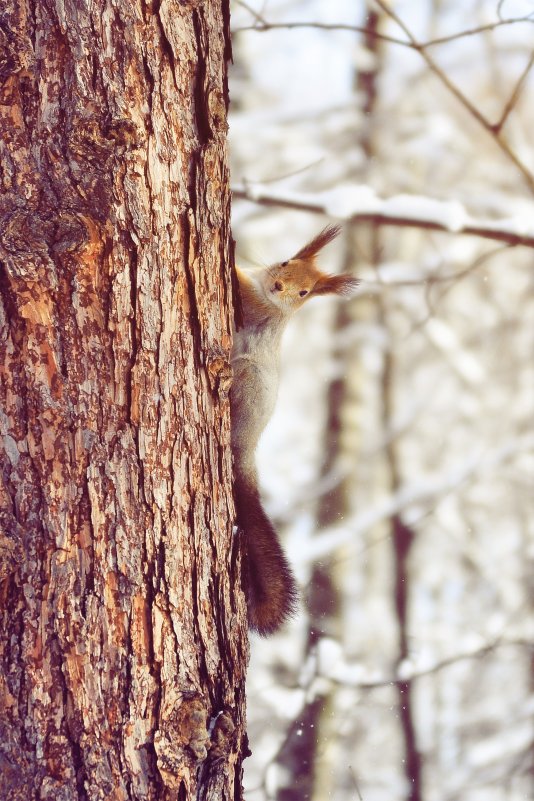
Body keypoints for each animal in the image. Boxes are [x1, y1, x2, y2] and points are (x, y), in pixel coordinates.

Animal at [230, 225, 360, 636]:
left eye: (304, 293)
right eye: (286, 261)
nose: (278, 285)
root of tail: (246, 451)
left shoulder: (253, 305)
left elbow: (237, 284)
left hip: (248, 380)